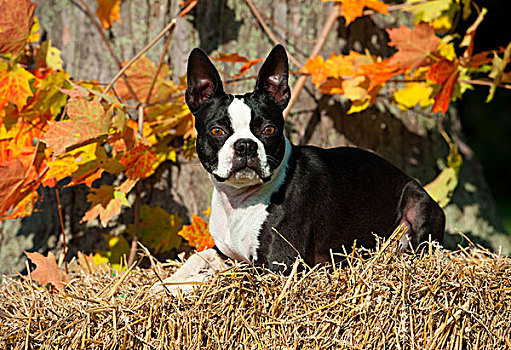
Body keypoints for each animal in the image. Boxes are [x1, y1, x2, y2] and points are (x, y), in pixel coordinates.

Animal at [151, 45, 444, 294]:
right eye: (217, 131)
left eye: (269, 129)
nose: (245, 145)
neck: (240, 200)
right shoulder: (225, 252)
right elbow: (197, 257)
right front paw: (163, 283)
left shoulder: (276, 267)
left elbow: (218, 277)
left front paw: (182, 286)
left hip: (417, 201)